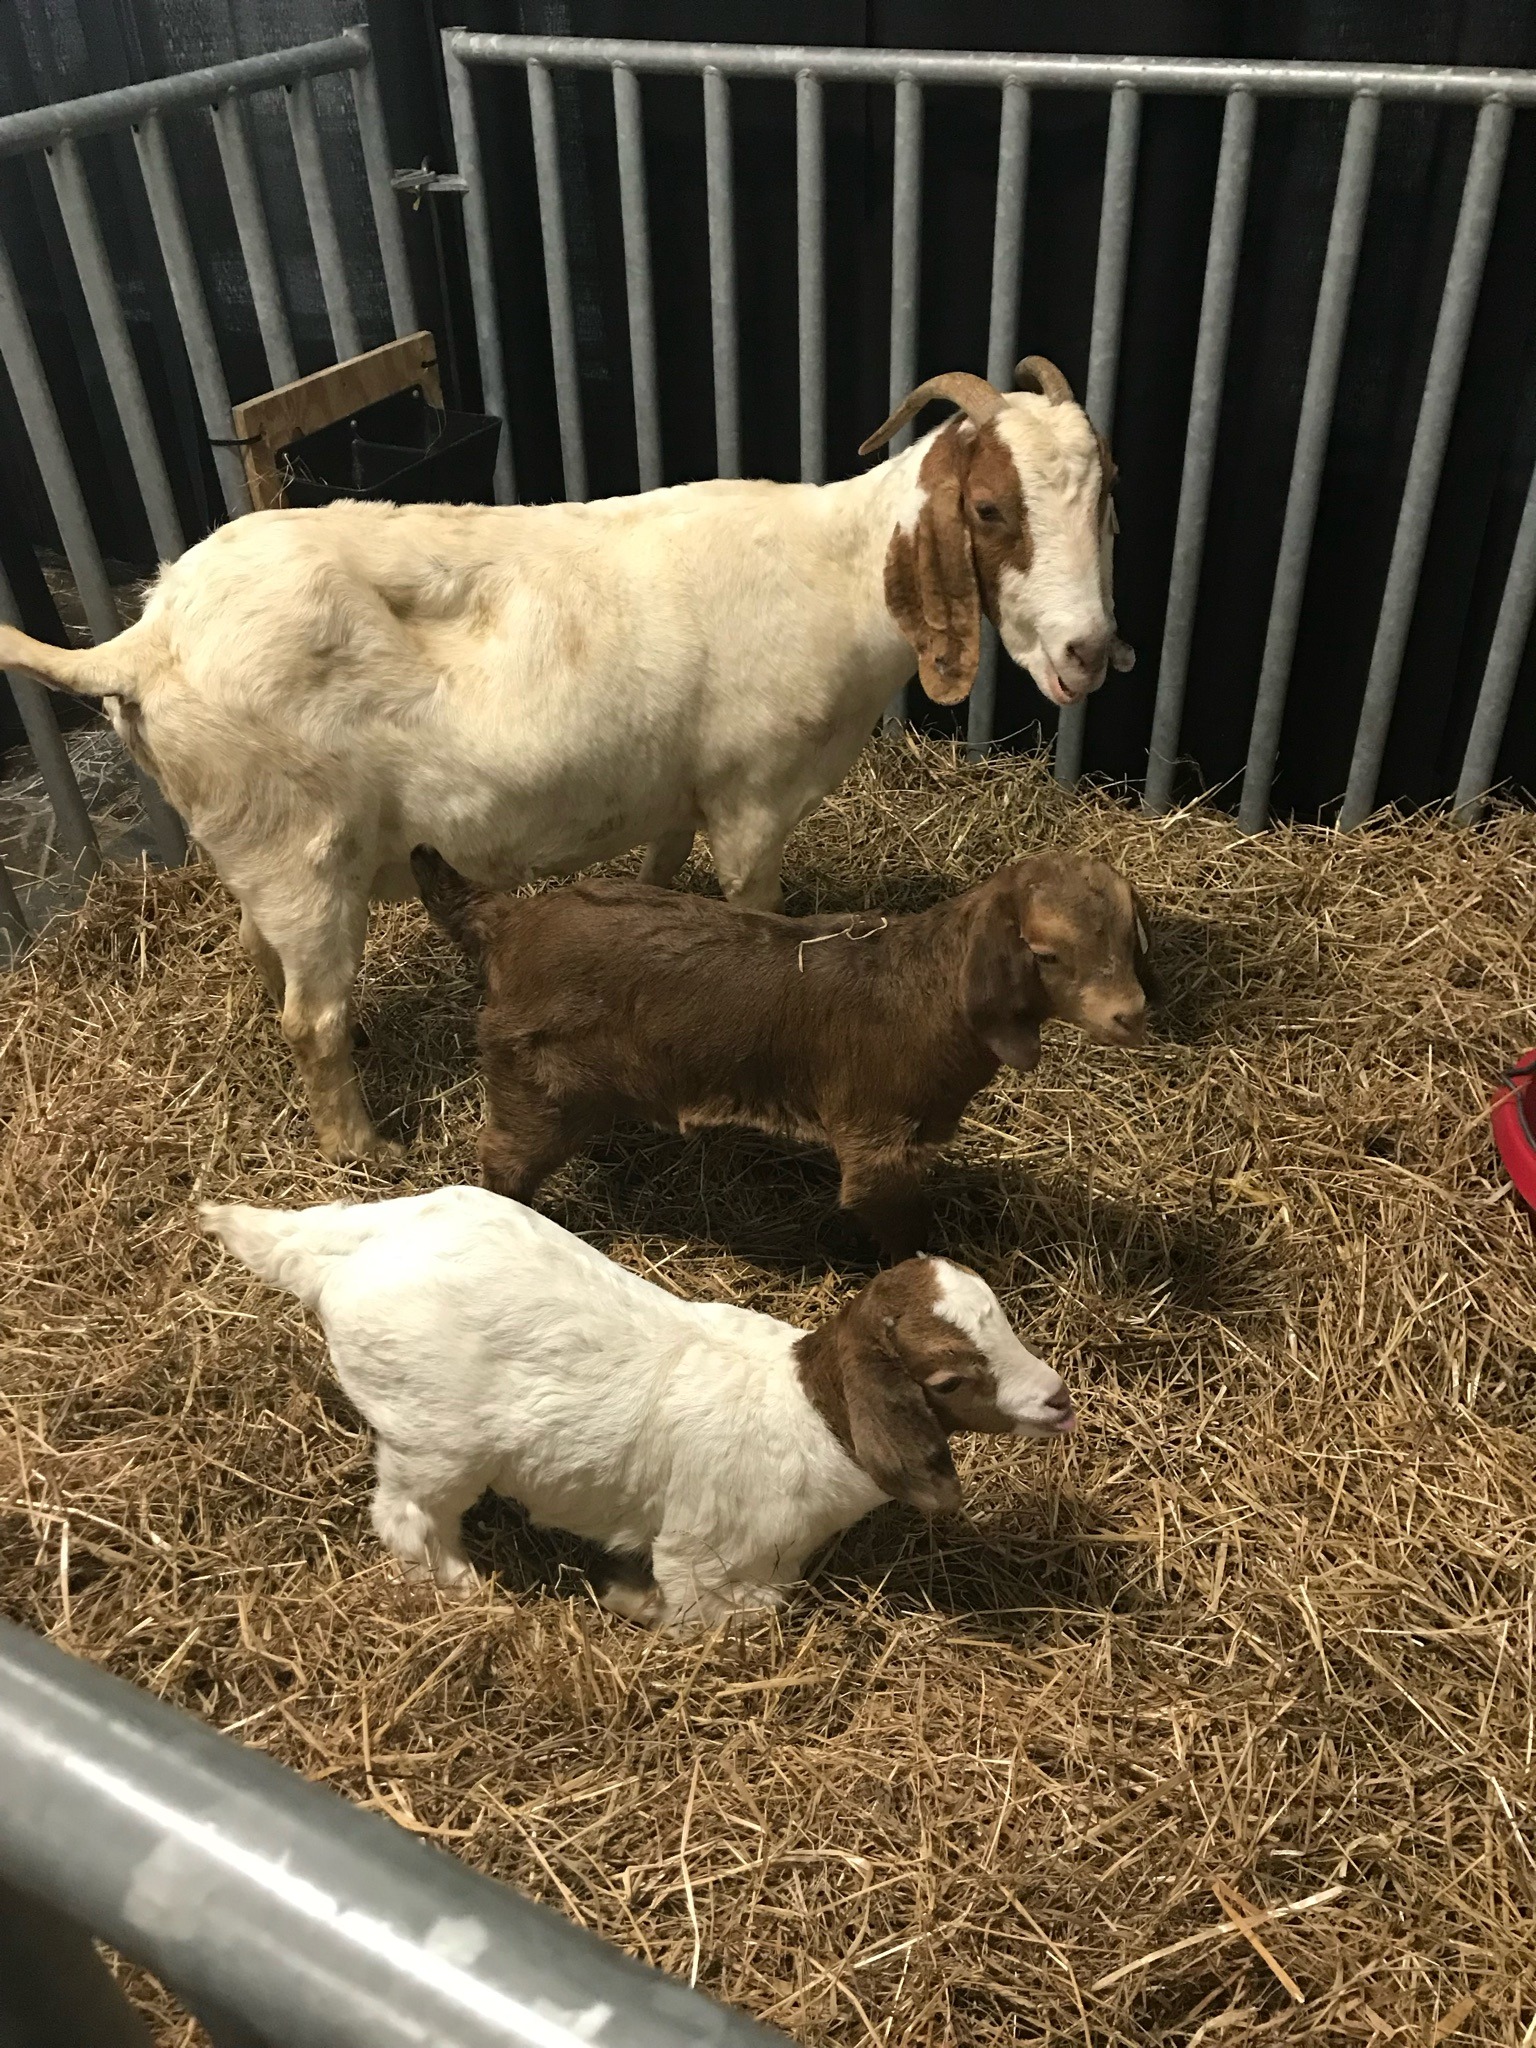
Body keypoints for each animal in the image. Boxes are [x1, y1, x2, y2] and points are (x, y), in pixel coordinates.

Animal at [0, 358, 1131, 1162]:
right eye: (990, 509)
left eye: (1108, 496)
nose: (1088, 654)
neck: (837, 570)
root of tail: (144, 636)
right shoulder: (755, 798)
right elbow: (758, 912)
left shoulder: (680, 793)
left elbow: (663, 878)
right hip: (306, 853)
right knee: (308, 1018)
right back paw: (365, 1146)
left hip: (259, 847)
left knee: (259, 956)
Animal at [201, 1185, 1076, 1627]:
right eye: (950, 1380)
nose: (1059, 1400)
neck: (805, 1413)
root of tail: (345, 1255)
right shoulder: (706, 1558)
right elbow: (715, 1617)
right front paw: (632, 1602)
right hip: (434, 1443)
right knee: (408, 1517)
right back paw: (469, 1589)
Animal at [412, 848, 1153, 1260]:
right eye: (1047, 954)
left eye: (1127, 937)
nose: (1131, 1014)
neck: (931, 989)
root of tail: (510, 922)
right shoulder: (878, 1141)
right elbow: (902, 1227)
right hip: (535, 1079)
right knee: (504, 1156)